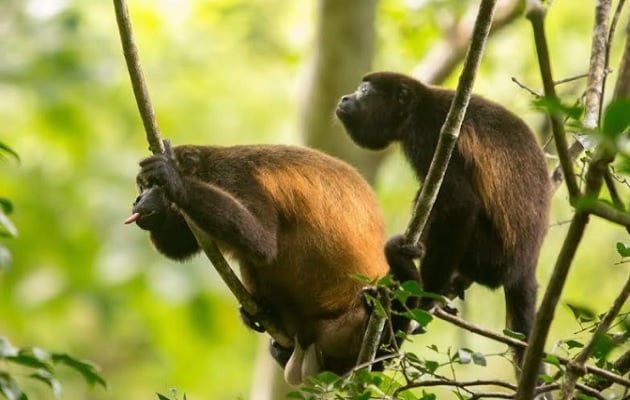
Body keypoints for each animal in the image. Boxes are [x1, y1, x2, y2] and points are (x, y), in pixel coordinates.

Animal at [126, 141, 410, 384]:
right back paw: (263, 310)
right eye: (141, 187)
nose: (137, 200)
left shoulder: (236, 178)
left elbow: (262, 241)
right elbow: (177, 247)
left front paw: (174, 181)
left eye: (150, 185)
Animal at [336, 71, 552, 372]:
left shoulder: (432, 134)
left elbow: (460, 204)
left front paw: (425, 298)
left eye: (365, 92)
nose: (345, 98)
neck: (414, 109)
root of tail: (526, 268)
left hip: (487, 255)